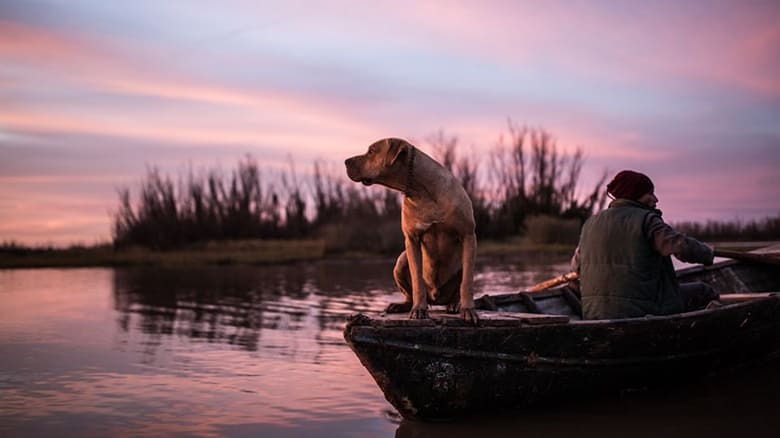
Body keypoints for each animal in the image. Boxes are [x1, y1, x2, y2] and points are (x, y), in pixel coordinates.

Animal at [344, 137, 478, 322]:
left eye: (371, 151)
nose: (346, 161)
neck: (421, 190)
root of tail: (437, 298)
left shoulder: (468, 235)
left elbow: (467, 282)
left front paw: (468, 309)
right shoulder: (412, 239)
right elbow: (417, 280)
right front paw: (419, 309)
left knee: (460, 284)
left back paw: (454, 304)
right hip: (401, 260)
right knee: (409, 292)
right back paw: (402, 305)